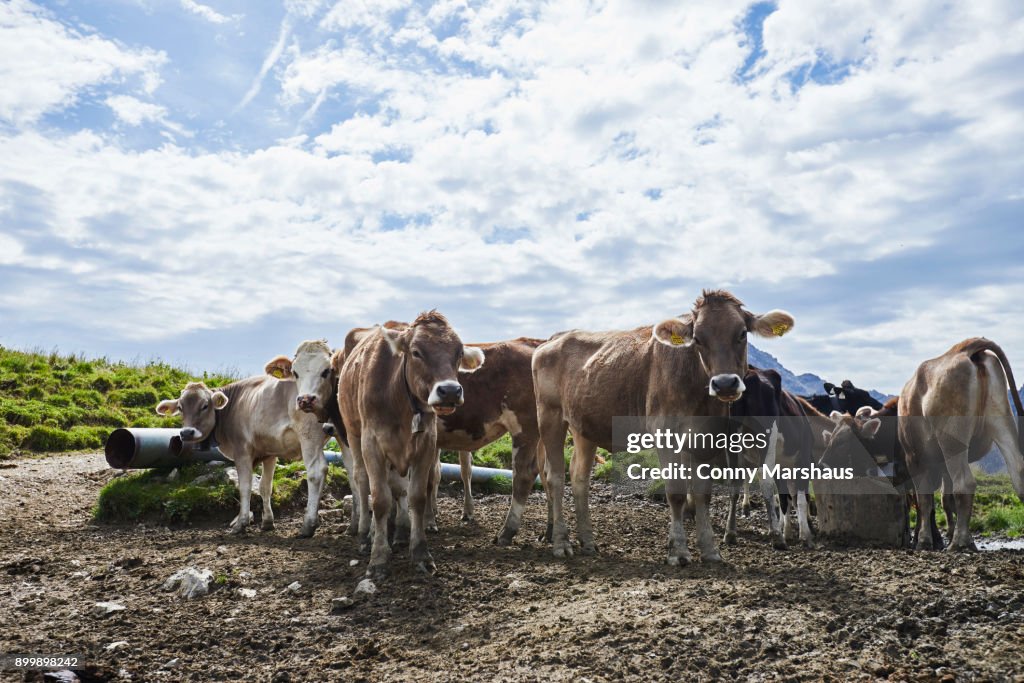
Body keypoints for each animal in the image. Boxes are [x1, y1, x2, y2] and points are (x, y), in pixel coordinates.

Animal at [153, 342, 333, 540]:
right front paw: (267, 522)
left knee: (316, 472)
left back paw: (308, 525)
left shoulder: (242, 452)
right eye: (180, 407)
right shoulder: (270, 452)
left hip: (309, 435)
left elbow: (245, 487)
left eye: (205, 406)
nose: (186, 432)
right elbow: (265, 487)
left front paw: (241, 523)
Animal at [337, 313, 485, 581]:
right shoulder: (371, 444)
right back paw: (365, 534)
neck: (400, 402)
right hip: (353, 433)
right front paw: (378, 558)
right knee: (362, 482)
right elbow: (380, 500)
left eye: (458, 352)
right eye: (416, 352)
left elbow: (416, 496)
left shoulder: (426, 444)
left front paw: (420, 553)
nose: (449, 391)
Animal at [532, 290, 794, 565]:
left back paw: (588, 542)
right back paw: (562, 542)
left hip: (585, 427)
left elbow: (703, 494)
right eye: (697, 339)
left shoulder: (707, 438)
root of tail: (555, 338)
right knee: (555, 477)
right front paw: (678, 550)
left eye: (742, 333)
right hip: (549, 415)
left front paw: (710, 550)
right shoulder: (665, 434)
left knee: (579, 476)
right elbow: (676, 492)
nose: (724, 384)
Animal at [901, 339, 1019, 552]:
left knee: (964, 484)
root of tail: (965, 349)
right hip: (1002, 417)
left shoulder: (914, 457)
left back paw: (959, 542)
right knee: (1019, 473)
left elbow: (925, 499)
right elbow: (944, 499)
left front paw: (924, 540)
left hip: (952, 438)